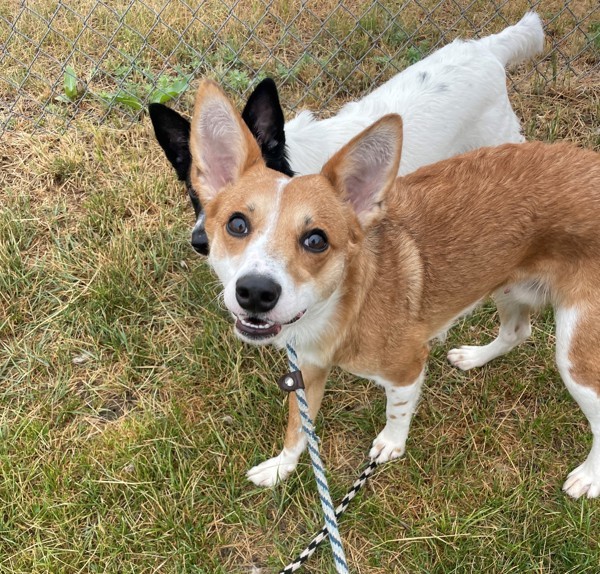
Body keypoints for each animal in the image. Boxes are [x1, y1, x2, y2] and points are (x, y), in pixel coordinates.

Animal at [190, 80, 600, 500]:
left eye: (316, 240)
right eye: (237, 224)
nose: (255, 292)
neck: (346, 304)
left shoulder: (407, 367)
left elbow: (396, 410)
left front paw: (390, 444)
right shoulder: (307, 370)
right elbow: (298, 430)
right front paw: (280, 468)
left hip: (575, 351)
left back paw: (589, 477)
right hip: (506, 283)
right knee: (518, 331)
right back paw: (475, 357)